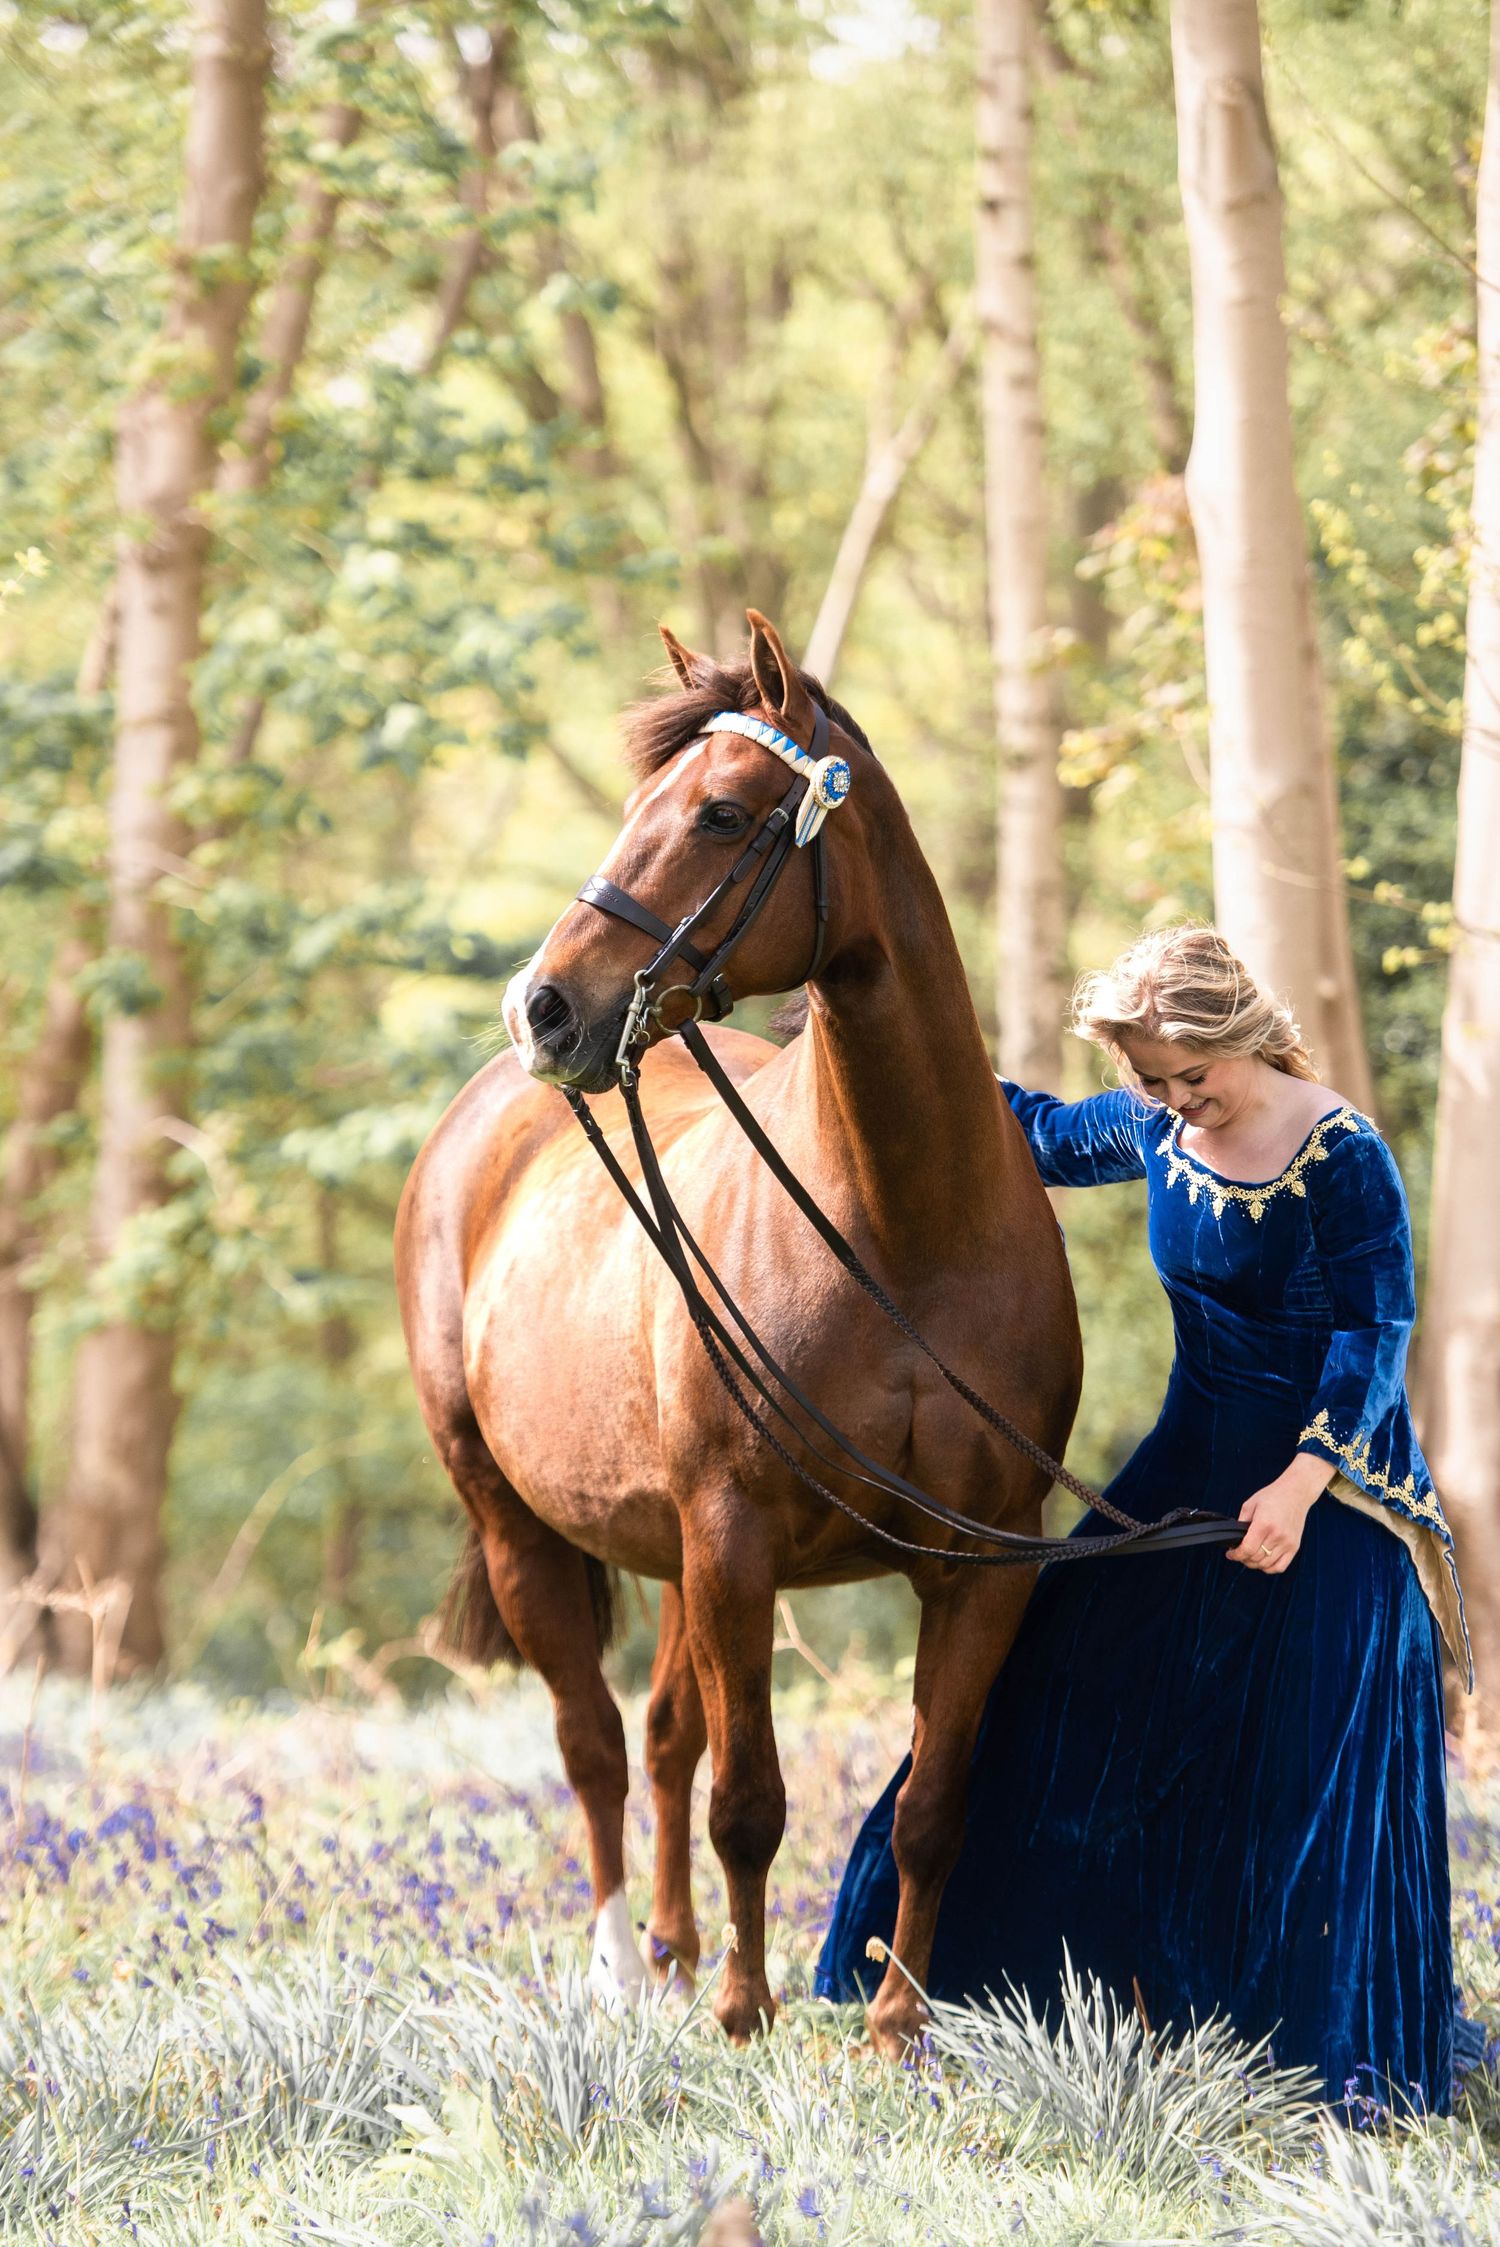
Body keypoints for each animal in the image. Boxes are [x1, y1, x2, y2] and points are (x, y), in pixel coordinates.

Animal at [395, 610, 1083, 2054]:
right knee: (597, 1742)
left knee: (659, 1734)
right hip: (528, 1526)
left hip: (670, 1554)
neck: (903, 1233)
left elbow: (932, 1803)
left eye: (718, 811)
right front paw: (744, 2008)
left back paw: (665, 1950)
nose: (544, 1006)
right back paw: (622, 1970)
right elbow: (749, 1798)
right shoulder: (735, 1534)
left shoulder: (986, 1561)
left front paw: (898, 2027)